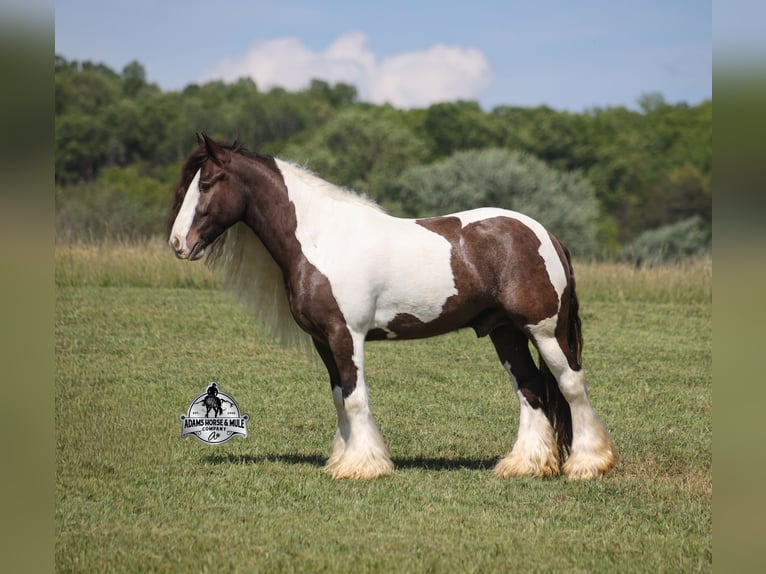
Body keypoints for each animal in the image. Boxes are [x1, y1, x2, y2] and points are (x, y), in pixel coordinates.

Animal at [167, 133, 618, 480]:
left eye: (208, 183)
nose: (178, 244)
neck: (320, 239)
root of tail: (545, 234)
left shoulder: (346, 335)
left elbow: (354, 397)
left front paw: (363, 466)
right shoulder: (322, 340)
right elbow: (339, 396)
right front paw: (344, 460)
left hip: (544, 330)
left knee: (571, 384)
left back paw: (588, 465)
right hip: (506, 332)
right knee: (530, 388)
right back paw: (525, 465)